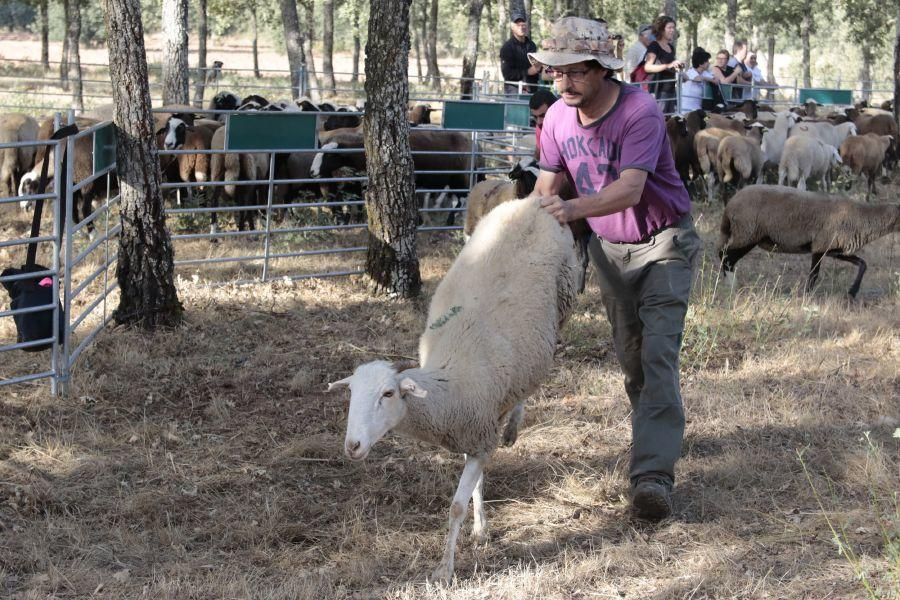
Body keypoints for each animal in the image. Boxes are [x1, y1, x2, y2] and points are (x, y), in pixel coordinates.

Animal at [328, 199, 576, 584]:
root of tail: (532, 201)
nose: (352, 446)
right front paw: (481, 528)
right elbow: (474, 487)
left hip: (565, 299)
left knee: (530, 380)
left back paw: (515, 423)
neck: (447, 389)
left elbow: (456, 505)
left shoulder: (481, 436)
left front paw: (445, 570)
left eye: (388, 394)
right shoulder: (473, 434)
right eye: (351, 393)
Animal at [716, 183, 900, 296]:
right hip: (747, 233)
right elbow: (813, 275)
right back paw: (732, 286)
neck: (861, 217)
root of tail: (730, 205)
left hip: (743, 234)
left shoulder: (835, 250)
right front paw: (807, 297)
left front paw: (852, 292)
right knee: (726, 257)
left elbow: (863, 263)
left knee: (724, 255)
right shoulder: (820, 245)